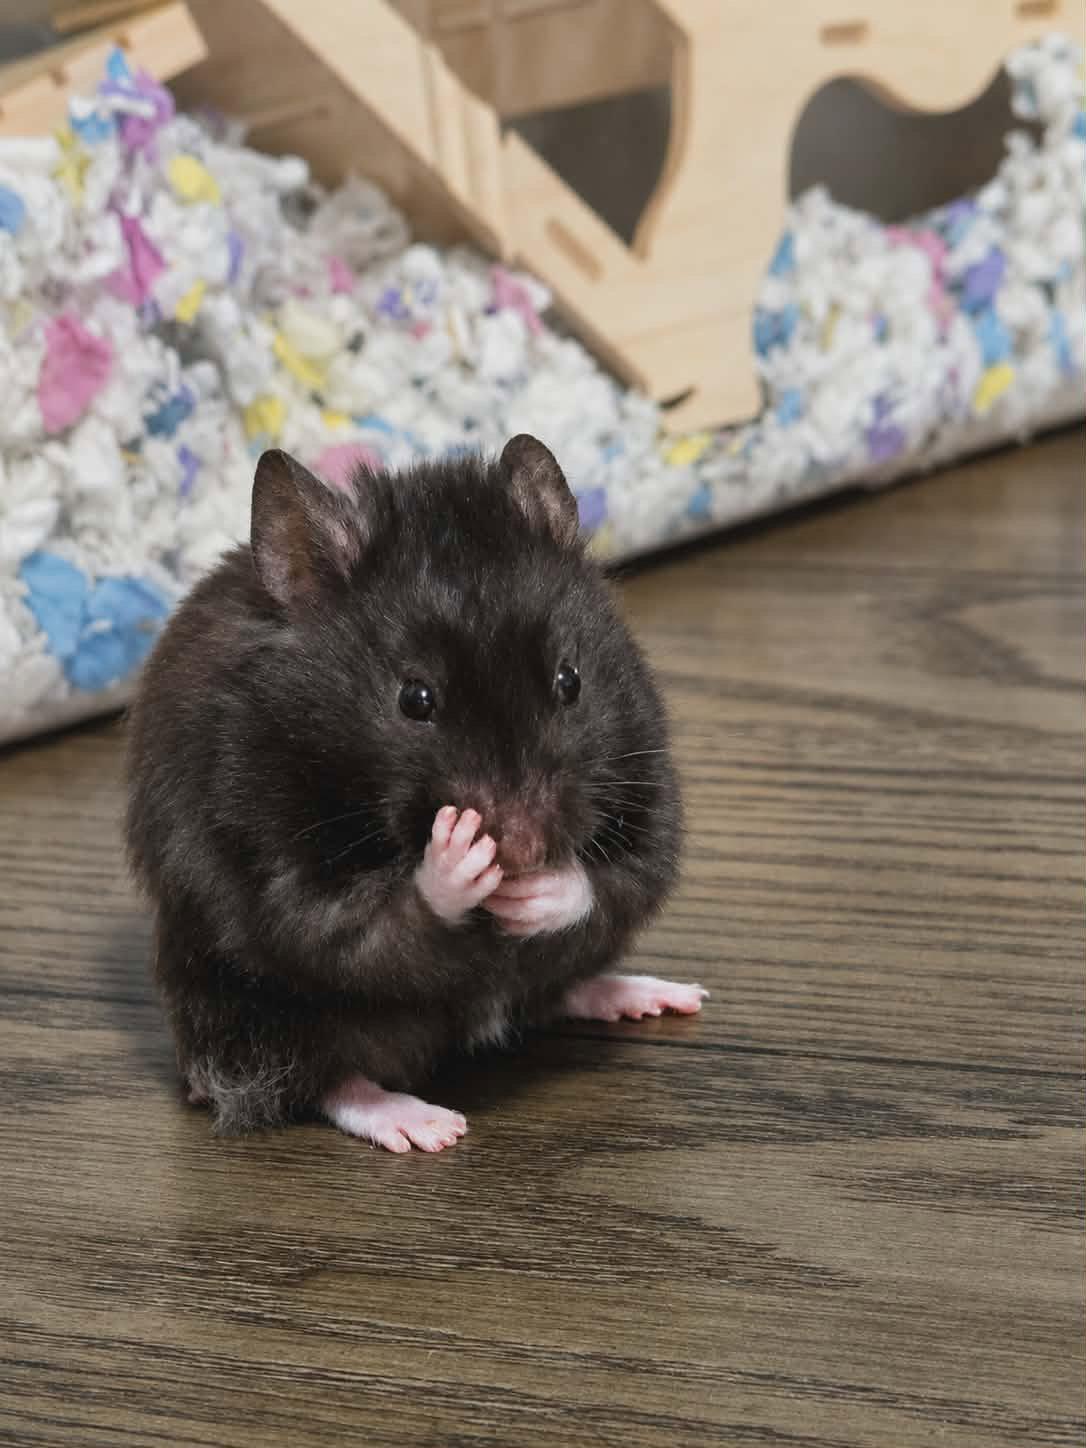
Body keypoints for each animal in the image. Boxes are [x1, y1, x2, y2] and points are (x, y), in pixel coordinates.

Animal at [125, 435, 704, 1151]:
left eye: (570, 681)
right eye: (414, 700)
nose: (521, 848)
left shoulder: (649, 786)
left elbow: (622, 877)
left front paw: (537, 889)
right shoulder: (270, 859)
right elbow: (359, 929)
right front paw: (459, 854)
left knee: (556, 988)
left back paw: (665, 995)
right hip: (256, 1015)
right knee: (325, 1079)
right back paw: (430, 1127)